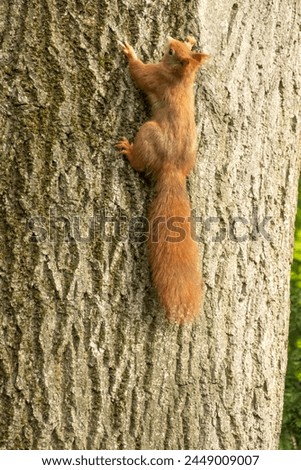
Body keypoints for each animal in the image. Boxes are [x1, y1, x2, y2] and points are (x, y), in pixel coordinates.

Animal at [116, 35, 207, 324]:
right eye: (179, 45)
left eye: (170, 52)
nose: (170, 38)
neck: (180, 78)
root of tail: (173, 170)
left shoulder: (155, 77)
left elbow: (139, 74)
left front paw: (130, 52)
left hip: (148, 133)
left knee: (140, 160)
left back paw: (128, 151)